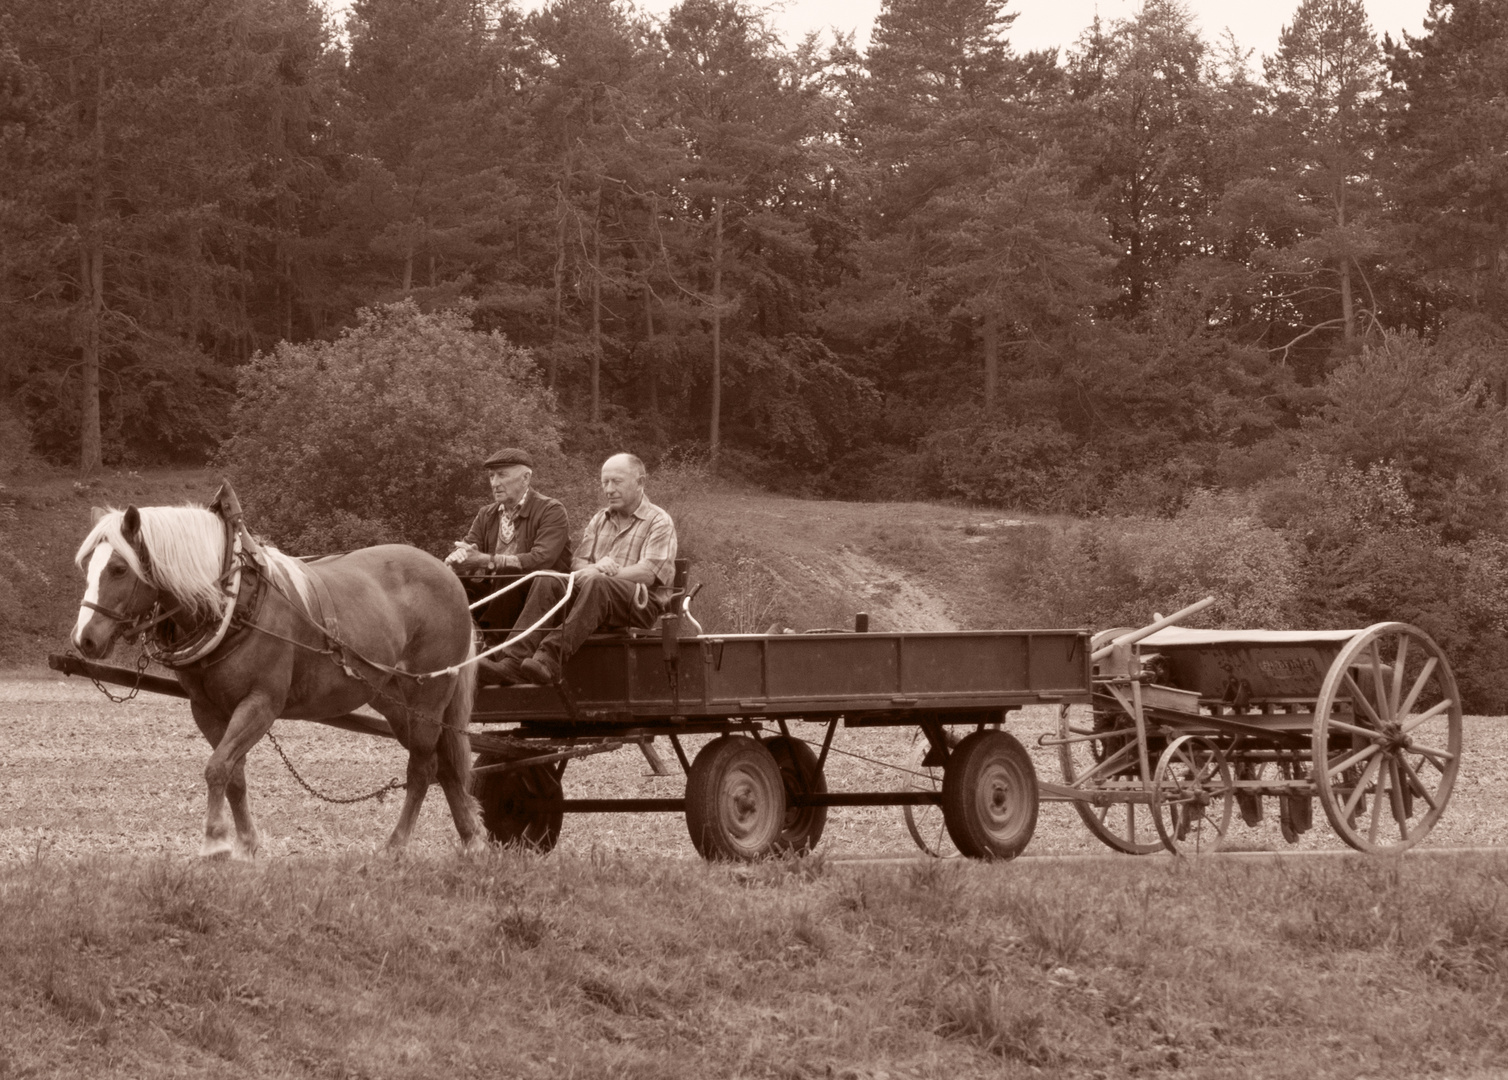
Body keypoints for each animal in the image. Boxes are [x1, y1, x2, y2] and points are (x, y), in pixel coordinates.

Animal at [70, 503, 482, 862]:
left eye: (119, 568)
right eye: (88, 565)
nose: (83, 638)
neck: (235, 602)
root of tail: (451, 578)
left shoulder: (262, 703)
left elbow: (216, 768)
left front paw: (215, 842)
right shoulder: (206, 709)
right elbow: (232, 774)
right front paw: (246, 844)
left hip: (427, 700)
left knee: (422, 770)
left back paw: (397, 845)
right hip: (395, 705)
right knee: (446, 767)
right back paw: (471, 840)